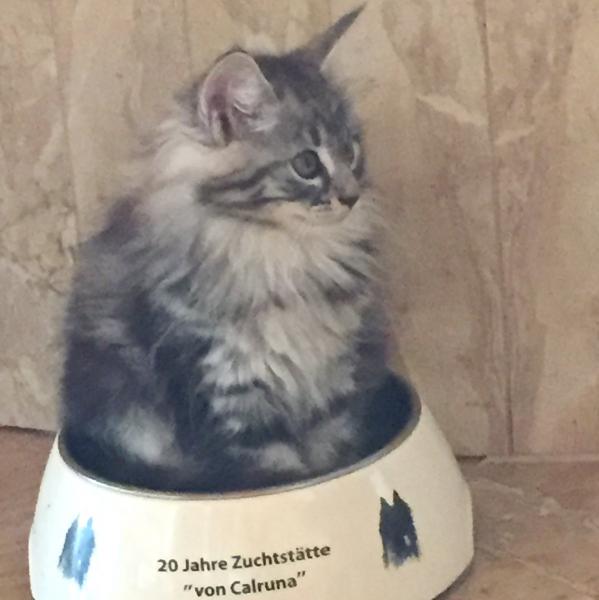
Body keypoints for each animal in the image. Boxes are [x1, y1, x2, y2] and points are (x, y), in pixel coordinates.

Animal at [61, 6, 407, 492]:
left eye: (352, 151)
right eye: (306, 164)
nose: (352, 196)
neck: (280, 253)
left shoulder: (334, 387)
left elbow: (330, 461)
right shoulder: (230, 394)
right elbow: (278, 475)